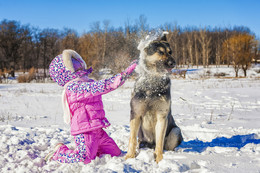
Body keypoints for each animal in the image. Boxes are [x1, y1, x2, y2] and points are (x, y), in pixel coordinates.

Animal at [125, 33, 183, 164]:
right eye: (160, 52)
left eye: (170, 52)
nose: (173, 63)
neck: (153, 81)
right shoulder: (135, 114)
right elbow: (132, 139)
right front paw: (129, 157)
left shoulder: (162, 116)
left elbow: (159, 141)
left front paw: (159, 160)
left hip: (175, 131)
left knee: (166, 145)